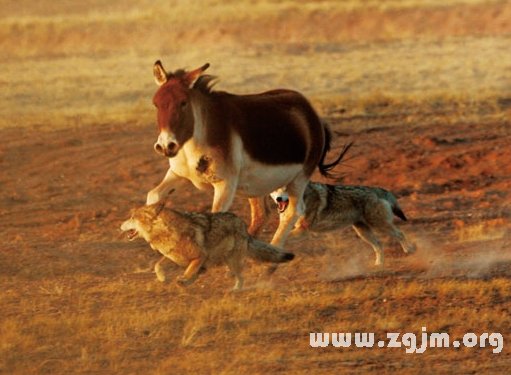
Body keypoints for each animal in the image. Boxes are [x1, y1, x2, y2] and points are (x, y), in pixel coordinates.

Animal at [121, 200, 296, 290]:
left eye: (132, 217)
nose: (120, 225)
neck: (164, 232)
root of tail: (244, 228)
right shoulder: (172, 255)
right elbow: (158, 265)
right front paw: (163, 278)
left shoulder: (200, 256)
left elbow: (190, 270)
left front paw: (183, 280)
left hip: (232, 261)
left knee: (241, 277)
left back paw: (235, 290)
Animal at [146, 60, 350, 248]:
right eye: (156, 104)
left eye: (183, 103)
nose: (165, 146)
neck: (200, 134)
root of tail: (312, 114)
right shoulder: (178, 174)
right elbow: (153, 196)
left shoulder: (225, 184)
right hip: (260, 186)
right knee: (264, 215)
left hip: (298, 178)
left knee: (291, 213)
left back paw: (273, 251)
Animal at [270, 183, 418, 268]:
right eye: (275, 191)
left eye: (285, 189)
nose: (279, 199)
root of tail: (376, 189)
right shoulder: (291, 227)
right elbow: (277, 237)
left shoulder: (302, 229)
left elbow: (279, 239)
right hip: (363, 232)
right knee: (379, 245)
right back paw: (378, 264)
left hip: (379, 225)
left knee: (400, 234)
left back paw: (409, 250)